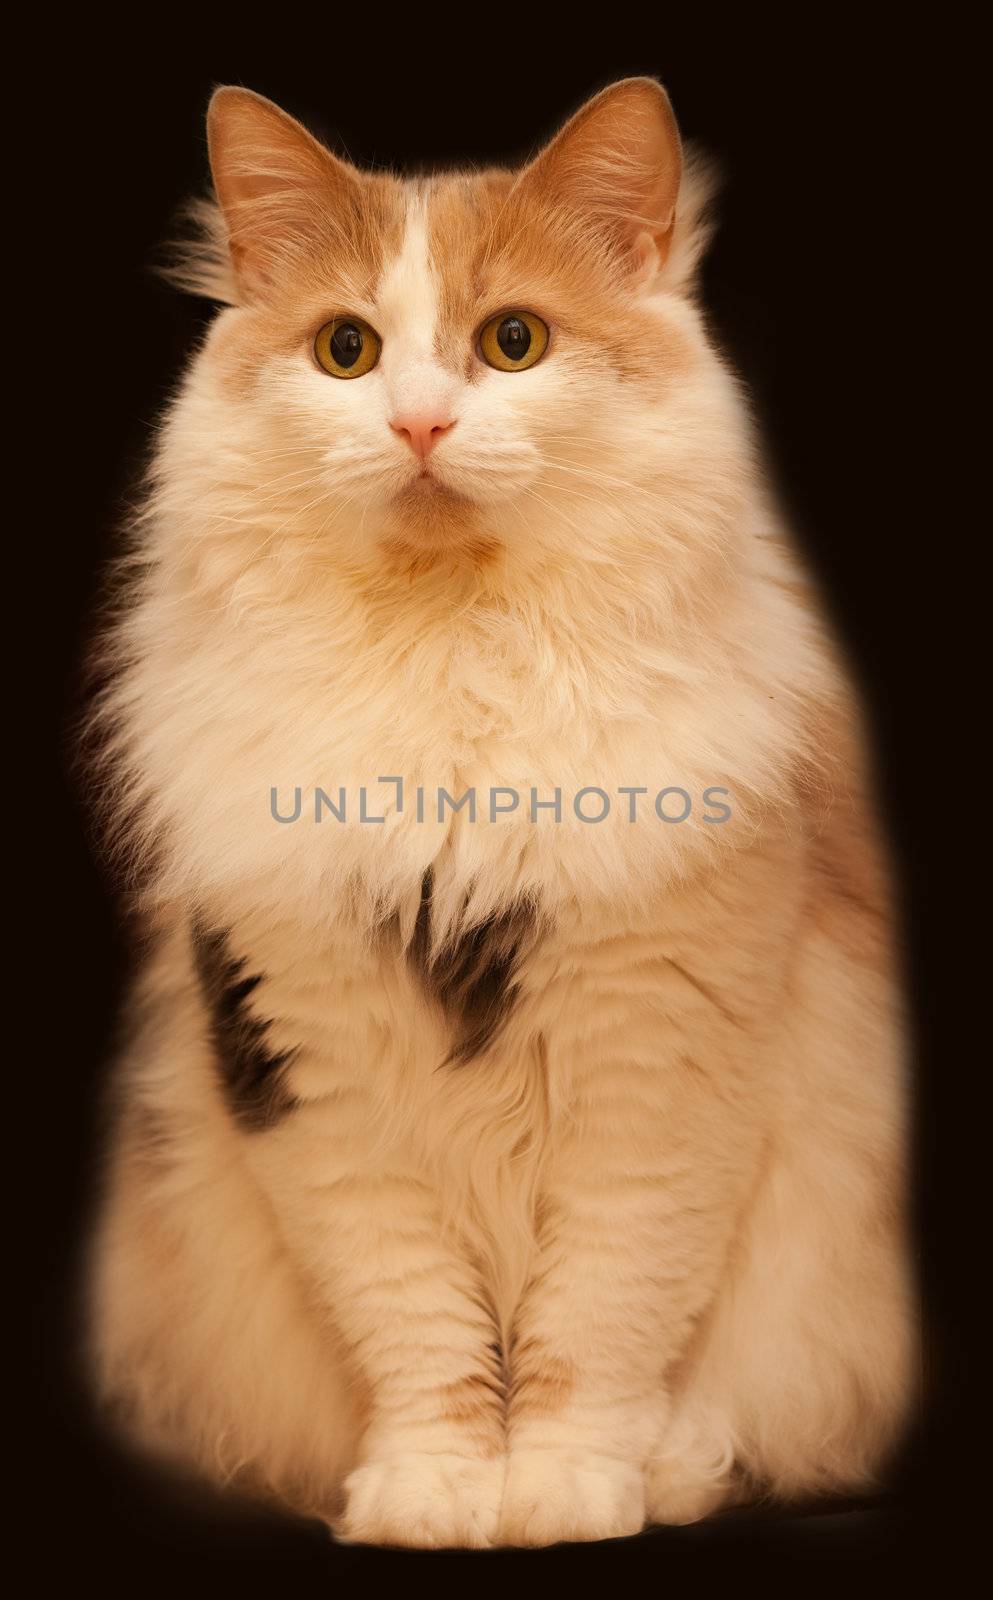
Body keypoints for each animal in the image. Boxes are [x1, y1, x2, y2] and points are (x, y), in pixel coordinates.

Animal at [87, 78, 914, 1548]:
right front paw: (433, 1490)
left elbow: (601, 1317)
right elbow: (419, 1329)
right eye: (347, 352)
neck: (454, 660)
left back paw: (673, 1465)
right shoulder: (310, 1067)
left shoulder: (657, 1061)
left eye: (512, 342)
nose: (419, 424)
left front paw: (570, 1488)